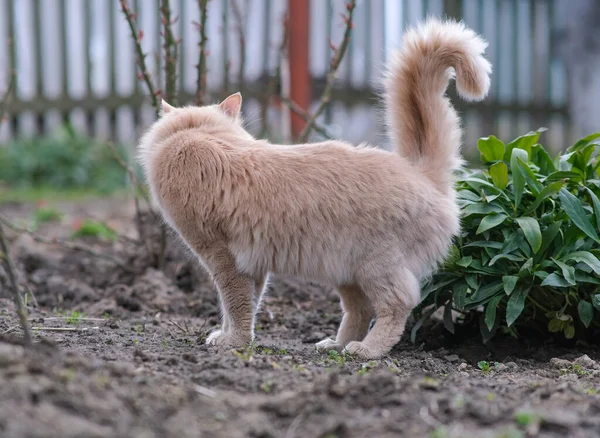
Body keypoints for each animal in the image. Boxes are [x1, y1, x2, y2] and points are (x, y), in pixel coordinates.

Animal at [139, 18, 492, 360]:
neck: (199, 134)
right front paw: (234, 337)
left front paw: (232, 341)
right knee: (359, 310)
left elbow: (235, 304)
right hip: (347, 273)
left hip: (378, 267)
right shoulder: (254, 267)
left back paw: (367, 350)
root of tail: (422, 173)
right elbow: (248, 305)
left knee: (397, 304)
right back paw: (336, 345)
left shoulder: (224, 258)